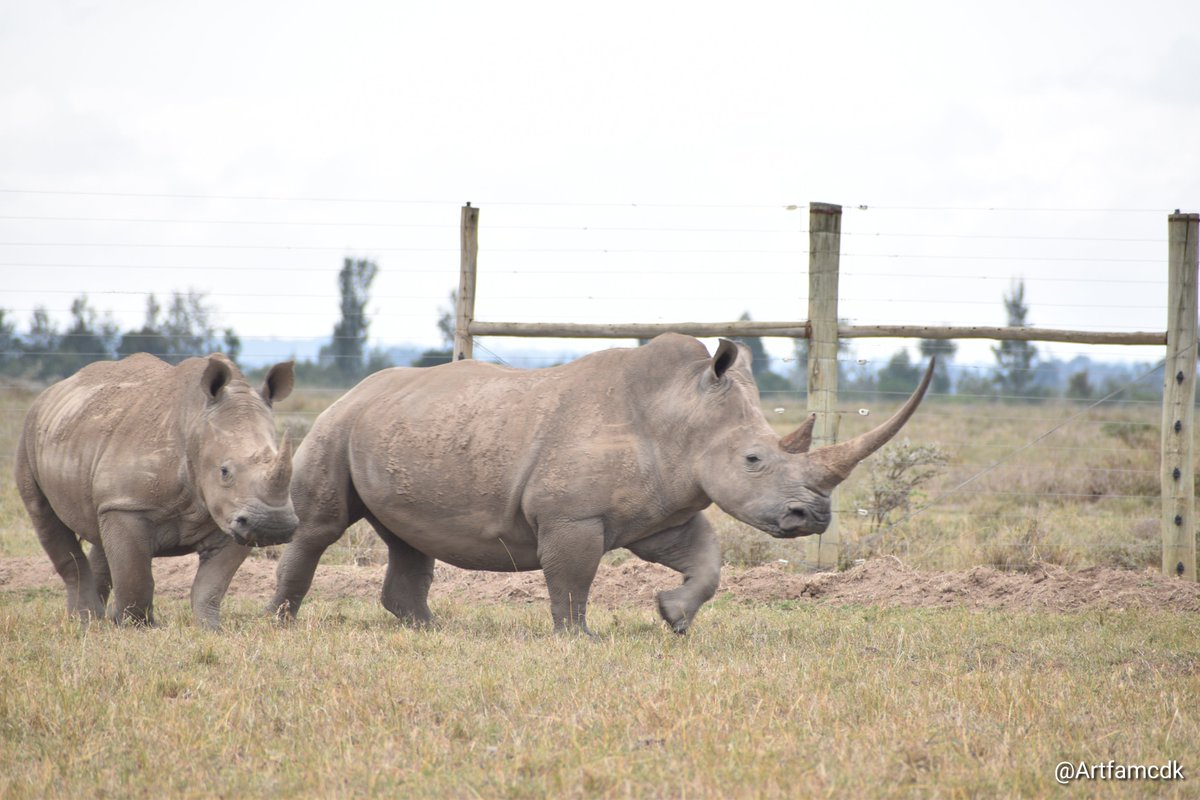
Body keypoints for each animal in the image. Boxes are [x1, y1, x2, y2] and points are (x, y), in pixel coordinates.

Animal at [15, 353, 298, 628]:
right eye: (224, 471)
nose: (273, 525)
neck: (196, 424)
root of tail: (54, 389)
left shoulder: (233, 517)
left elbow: (211, 585)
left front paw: (210, 628)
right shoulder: (128, 505)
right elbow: (135, 576)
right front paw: (137, 625)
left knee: (99, 528)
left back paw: (95, 619)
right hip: (30, 432)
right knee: (44, 516)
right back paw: (86, 622)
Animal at [270, 334, 932, 634]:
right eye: (753, 459)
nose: (813, 519)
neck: (681, 415)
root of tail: (356, 389)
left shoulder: (664, 509)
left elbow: (707, 560)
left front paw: (673, 617)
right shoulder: (572, 516)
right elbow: (572, 579)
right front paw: (579, 639)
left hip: (397, 427)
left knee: (408, 539)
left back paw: (430, 631)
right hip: (337, 424)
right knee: (322, 527)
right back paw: (281, 622)